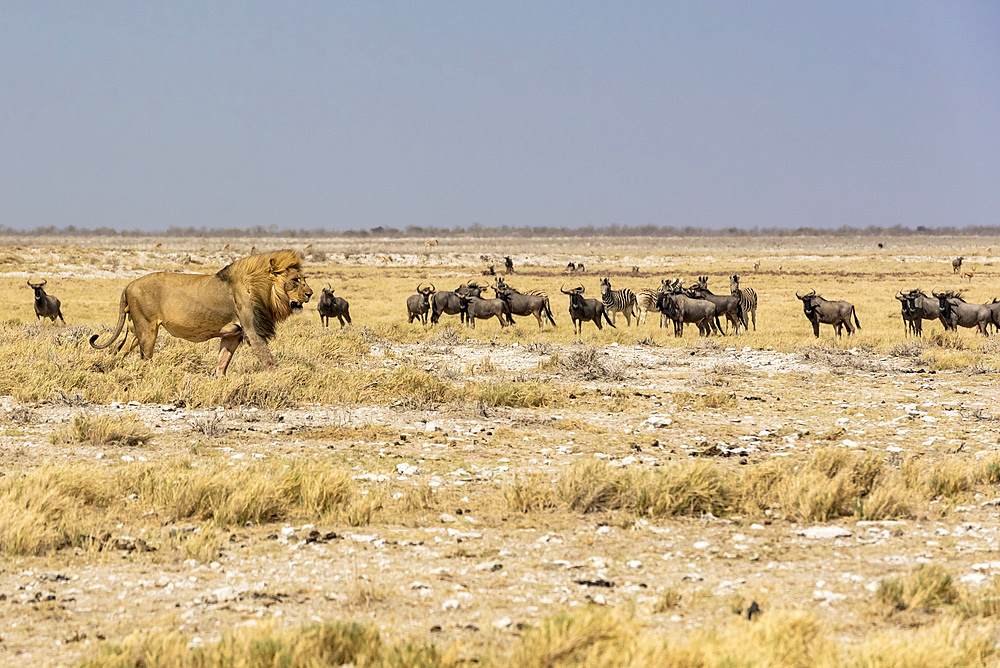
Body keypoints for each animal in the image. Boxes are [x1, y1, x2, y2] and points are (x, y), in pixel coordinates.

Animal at [93, 250, 316, 376]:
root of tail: (129, 284)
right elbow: (268, 359)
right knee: (145, 357)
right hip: (147, 328)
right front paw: (279, 380)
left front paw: (219, 381)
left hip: (135, 329)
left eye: (303, 279)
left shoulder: (233, 334)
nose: (310, 294)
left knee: (120, 350)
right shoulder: (252, 330)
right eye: (295, 280)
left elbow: (222, 361)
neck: (265, 290)